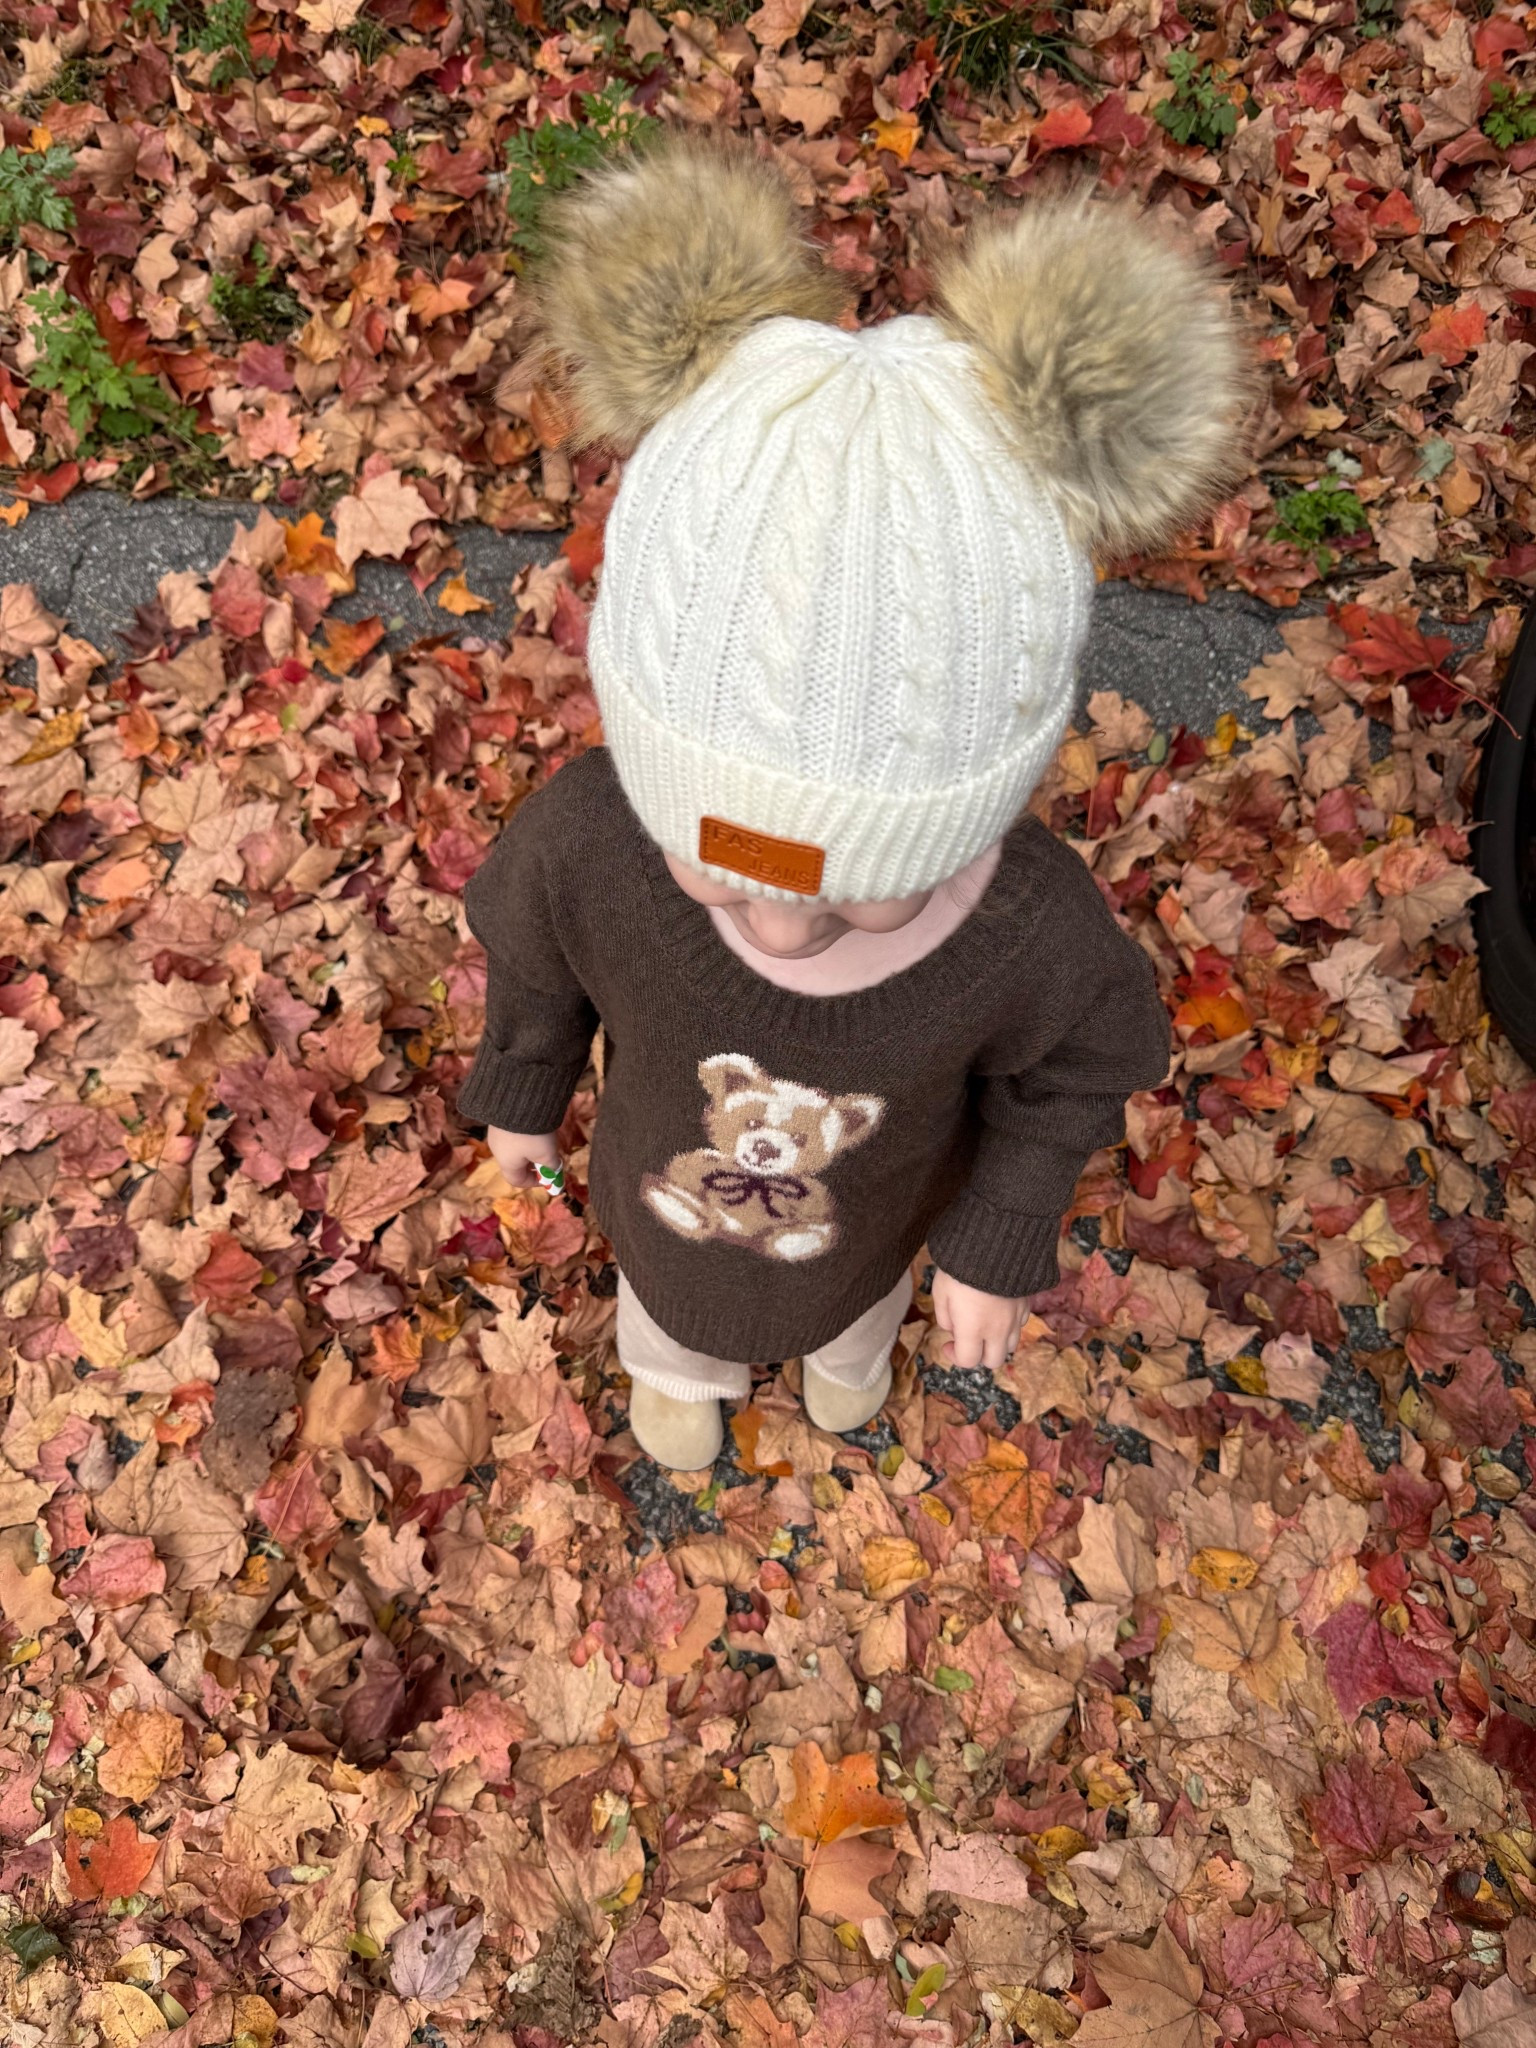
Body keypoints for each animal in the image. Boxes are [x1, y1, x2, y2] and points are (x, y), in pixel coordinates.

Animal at [642, 1053, 884, 1262]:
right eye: (752, 1123)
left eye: (800, 1138)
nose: (766, 1148)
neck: (755, 1179)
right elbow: (688, 1166)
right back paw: (680, 1207)